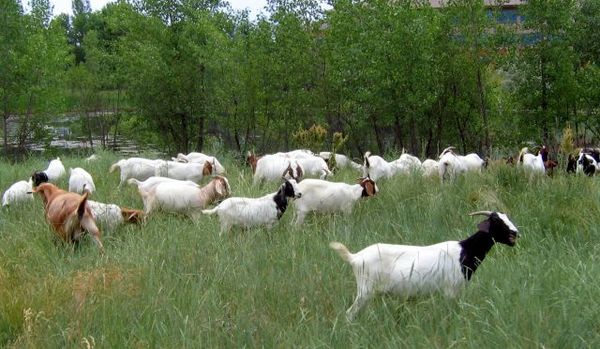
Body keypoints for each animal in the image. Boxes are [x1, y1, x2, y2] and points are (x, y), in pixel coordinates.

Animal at [328, 209, 516, 320]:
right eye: (497, 221)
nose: (516, 233)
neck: (465, 251)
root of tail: (355, 257)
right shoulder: (450, 291)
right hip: (365, 290)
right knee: (349, 314)